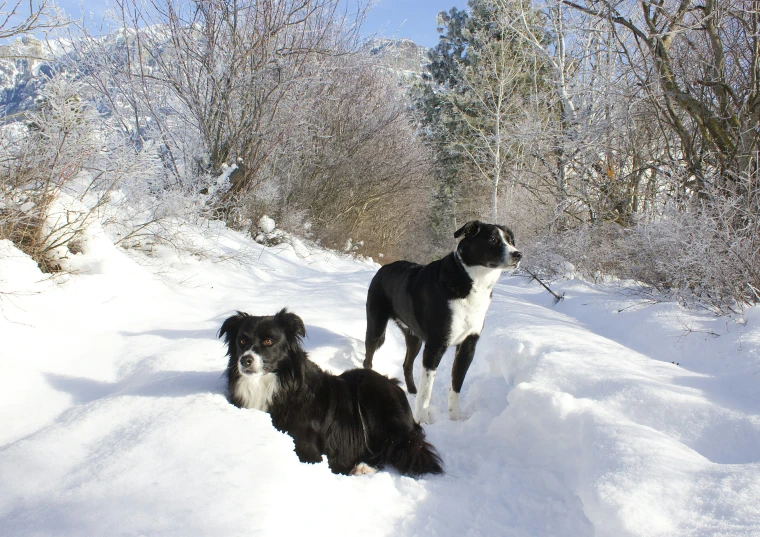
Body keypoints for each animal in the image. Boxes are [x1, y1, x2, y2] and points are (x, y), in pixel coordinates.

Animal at [218, 308, 446, 476]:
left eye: (268, 341)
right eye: (241, 341)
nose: (245, 360)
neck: (275, 383)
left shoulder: (307, 443)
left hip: (373, 396)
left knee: (393, 446)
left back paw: (363, 467)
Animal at [364, 221, 524, 422]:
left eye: (511, 240)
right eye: (493, 240)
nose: (518, 254)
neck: (472, 282)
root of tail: (383, 268)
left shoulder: (468, 346)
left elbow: (456, 383)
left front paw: (455, 416)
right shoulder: (435, 345)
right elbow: (427, 390)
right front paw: (422, 419)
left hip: (414, 337)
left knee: (407, 364)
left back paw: (412, 391)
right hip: (376, 326)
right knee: (368, 358)